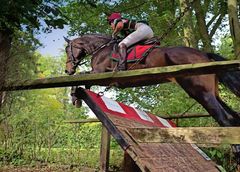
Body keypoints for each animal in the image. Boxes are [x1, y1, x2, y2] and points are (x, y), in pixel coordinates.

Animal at [63, 33, 240, 166]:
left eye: (67, 50)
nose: (68, 70)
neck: (102, 48)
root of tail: (204, 54)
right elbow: (85, 82)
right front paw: (78, 96)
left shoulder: (100, 73)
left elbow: (81, 78)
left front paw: (75, 96)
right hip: (211, 93)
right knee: (233, 116)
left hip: (200, 92)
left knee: (225, 119)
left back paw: (236, 152)